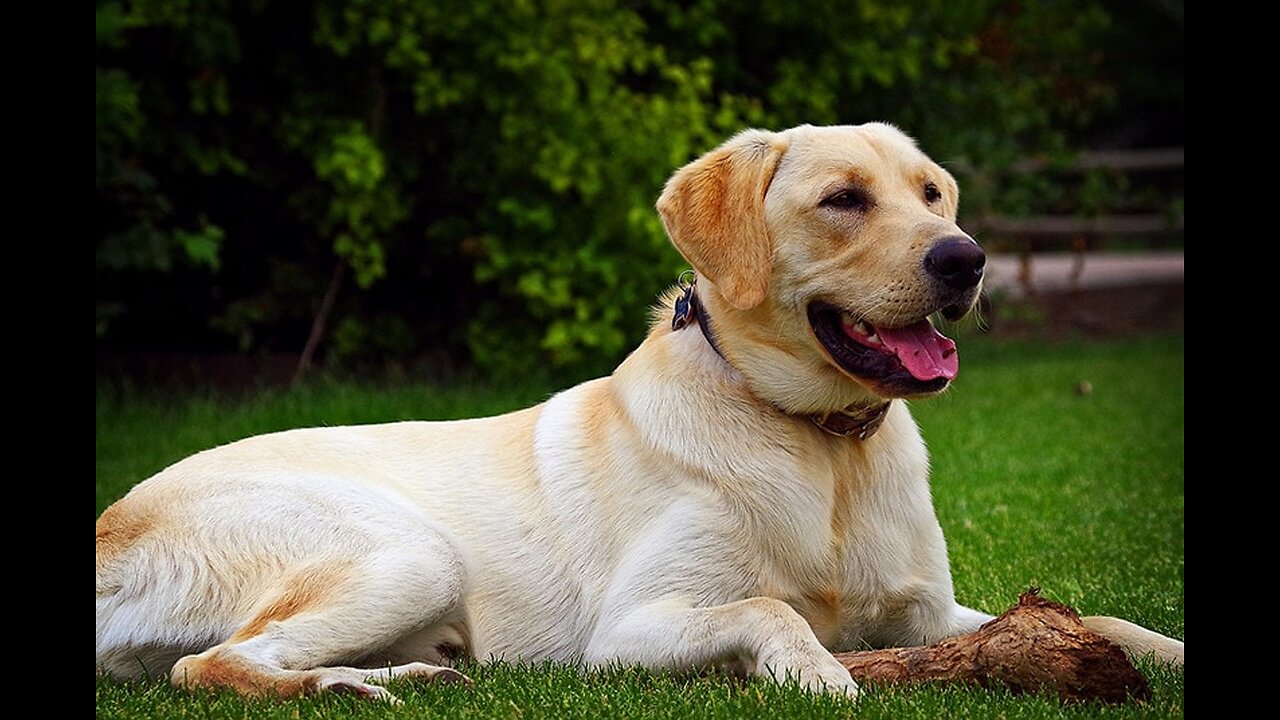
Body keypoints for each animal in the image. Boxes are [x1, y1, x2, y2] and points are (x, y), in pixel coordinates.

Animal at [94, 120, 1182, 696]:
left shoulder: (931, 611)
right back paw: (345, 688)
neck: (820, 444)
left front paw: (1161, 651)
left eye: (931, 194)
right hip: (406, 552)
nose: (965, 260)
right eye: (843, 199)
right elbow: (766, 606)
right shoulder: (628, 633)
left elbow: (1098, 616)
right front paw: (820, 673)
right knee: (212, 667)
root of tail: (110, 523)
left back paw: (403, 678)